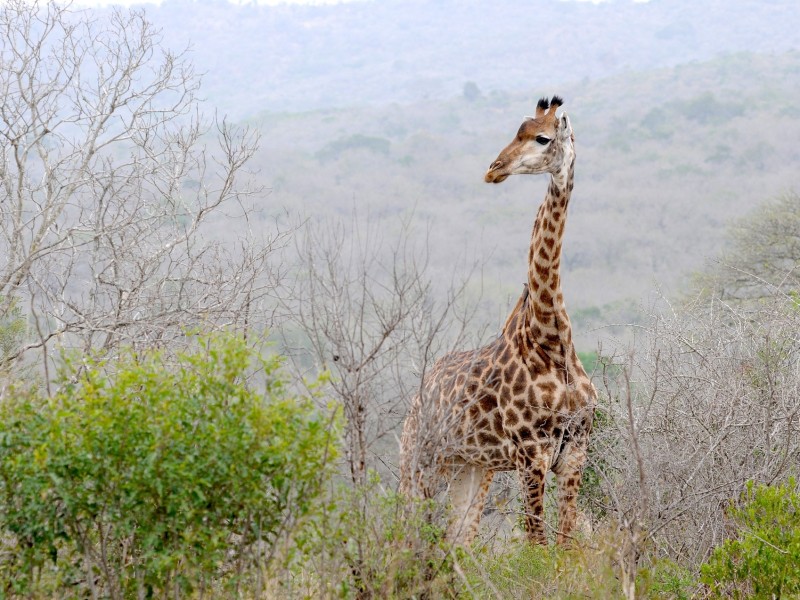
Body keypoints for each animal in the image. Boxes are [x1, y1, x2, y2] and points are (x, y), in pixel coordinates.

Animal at [399, 96, 596, 546]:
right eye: (517, 131)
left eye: (542, 138)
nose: (494, 168)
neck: (551, 337)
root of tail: (415, 402)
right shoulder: (530, 454)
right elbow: (538, 547)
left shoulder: (574, 453)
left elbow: (564, 545)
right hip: (417, 463)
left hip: (470, 469)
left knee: (458, 543)